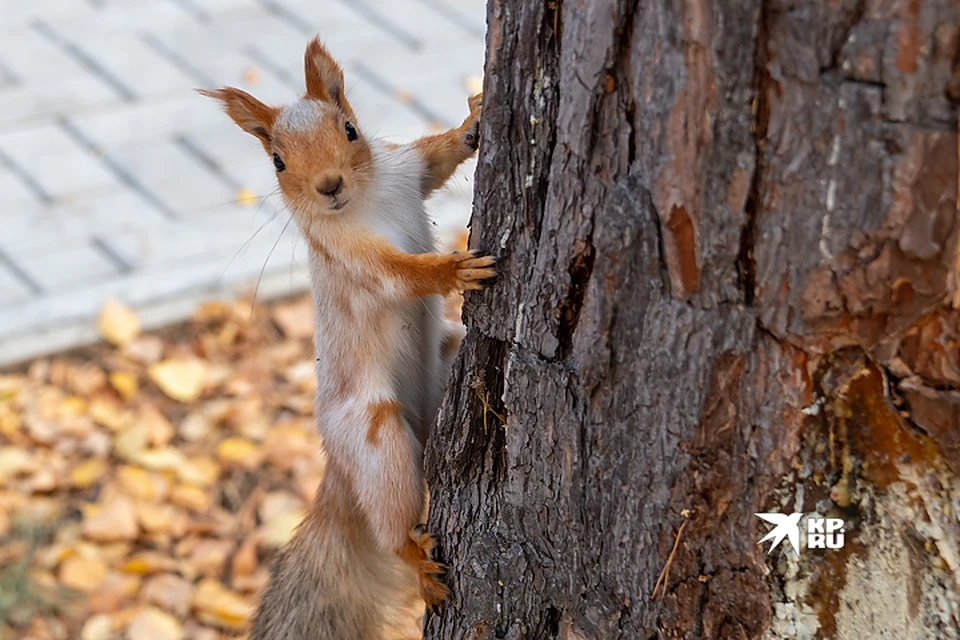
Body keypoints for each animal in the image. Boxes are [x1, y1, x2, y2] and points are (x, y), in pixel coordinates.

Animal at [198, 37, 492, 636]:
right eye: (278, 161)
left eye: (351, 129)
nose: (328, 186)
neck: (366, 199)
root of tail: (339, 470)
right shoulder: (352, 258)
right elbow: (401, 276)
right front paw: (452, 270)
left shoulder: (407, 171)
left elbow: (438, 159)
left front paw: (473, 121)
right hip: (374, 440)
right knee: (392, 519)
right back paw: (416, 562)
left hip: (447, 352)